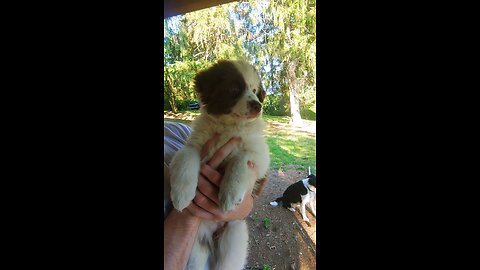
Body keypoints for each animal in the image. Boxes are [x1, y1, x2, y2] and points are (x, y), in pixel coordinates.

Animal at [169, 59, 270, 270]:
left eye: (254, 90)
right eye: (234, 89)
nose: (258, 106)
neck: (229, 126)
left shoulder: (260, 156)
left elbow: (240, 160)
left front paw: (229, 195)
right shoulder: (193, 145)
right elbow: (187, 160)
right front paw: (182, 196)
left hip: (234, 233)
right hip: (196, 251)